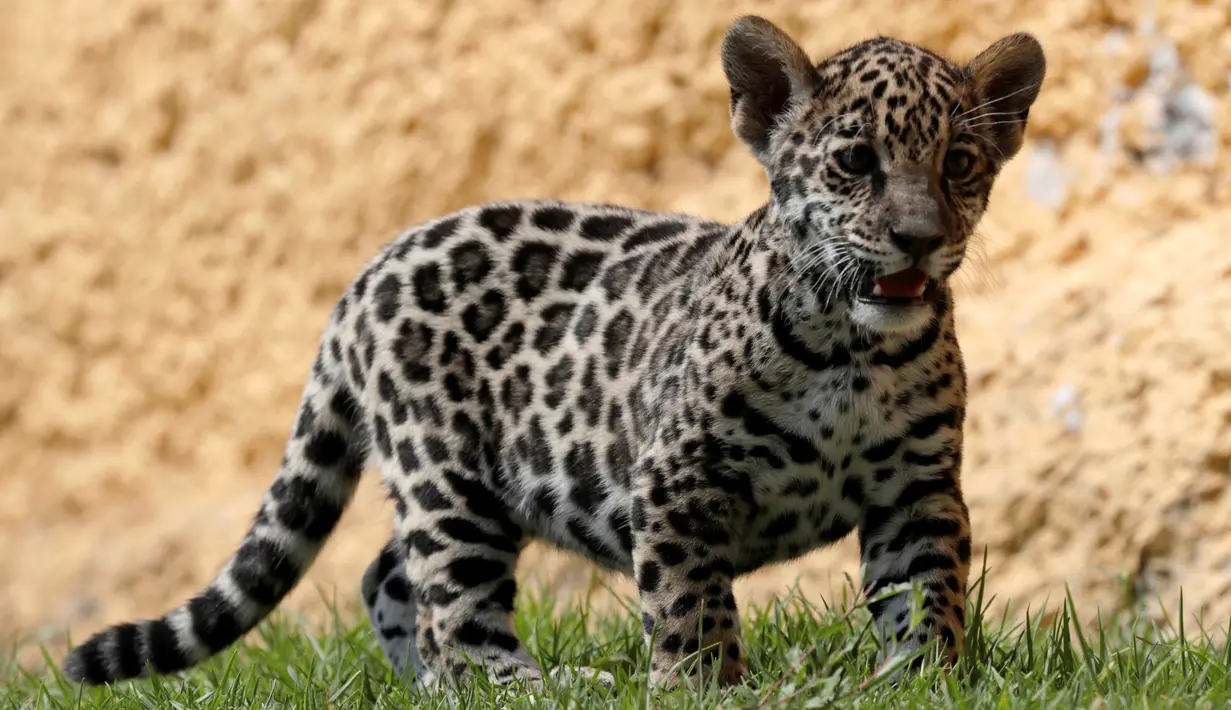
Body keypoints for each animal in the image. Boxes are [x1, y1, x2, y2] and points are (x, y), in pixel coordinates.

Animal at [62, 15, 1045, 690]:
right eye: (853, 162)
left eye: (959, 163)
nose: (918, 239)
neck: (851, 352)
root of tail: (369, 271)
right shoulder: (678, 476)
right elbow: (689, 603)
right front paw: (703, 688)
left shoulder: (915, 485)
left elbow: (924, 593)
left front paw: (923, 683)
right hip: (446, 471)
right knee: (453, 610)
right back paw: (537, 686)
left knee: (391, 579)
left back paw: (425, 689)